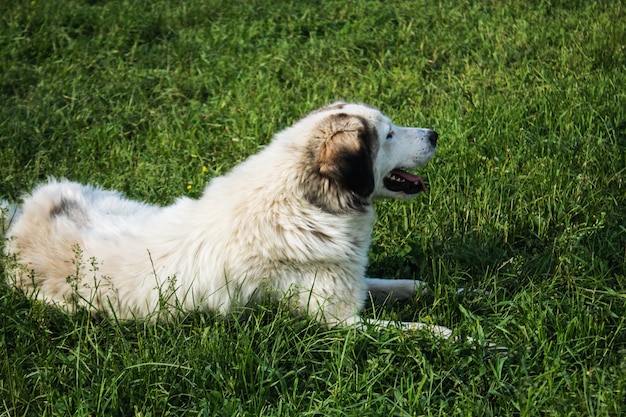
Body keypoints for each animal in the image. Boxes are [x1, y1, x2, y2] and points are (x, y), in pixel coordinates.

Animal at [0, 102, 448, 336]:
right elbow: (411, 329)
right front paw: (454, 335)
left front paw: (440, 291)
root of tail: (19, 223)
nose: (434, 134)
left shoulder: (350, 283)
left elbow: (395, 284)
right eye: (388, 134)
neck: (302, 205)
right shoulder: (340, 321)